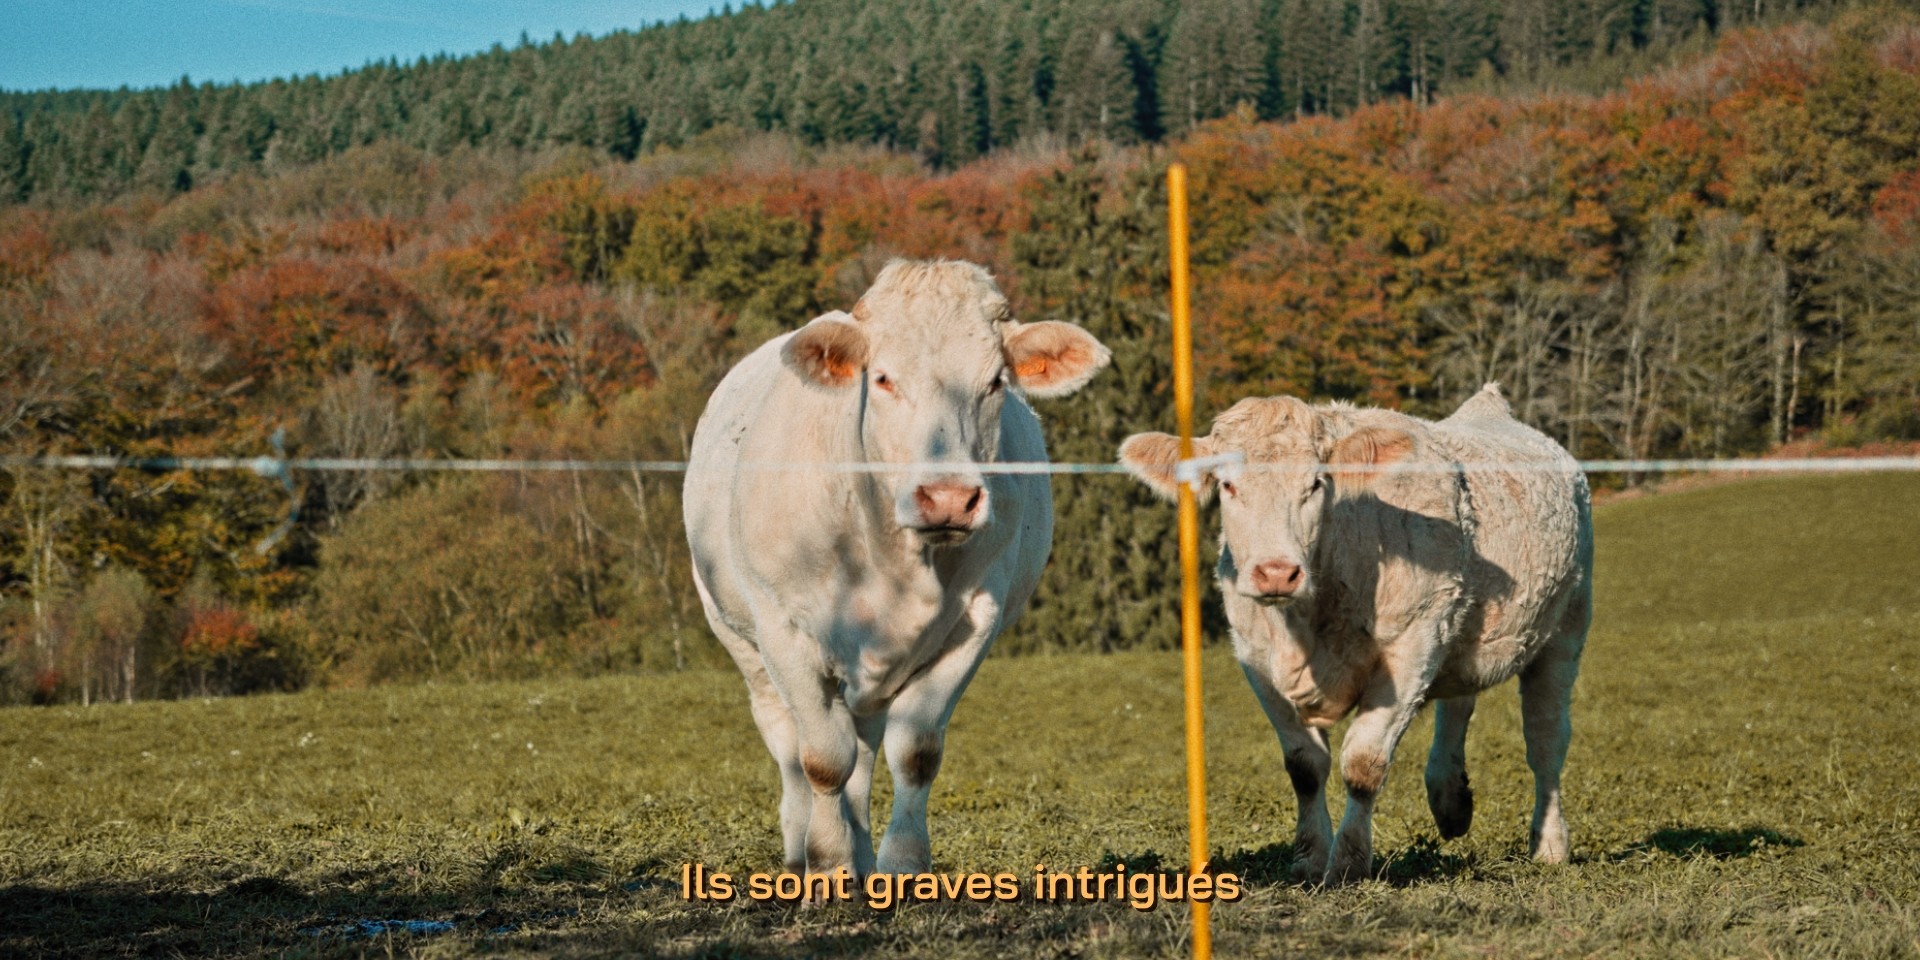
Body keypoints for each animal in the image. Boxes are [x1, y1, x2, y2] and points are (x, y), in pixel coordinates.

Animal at [684, 259, 1110, 881]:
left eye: (995, 382)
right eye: (883, 378)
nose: (949, 498)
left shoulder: (974, 625)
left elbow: (914, 754)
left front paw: (901, 866)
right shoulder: (786, 630)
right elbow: (821, 759)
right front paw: (828, 869)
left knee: (863, 747)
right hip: (737, 633)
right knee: (787, 743)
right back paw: (800, 851)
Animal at [1119, 384, 1592, 884]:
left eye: (1315, 484)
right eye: (1228, 485)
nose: (1276, 573)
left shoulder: (1412, 648)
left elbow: (1363, 763)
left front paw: (1348, 862)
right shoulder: (1256, 659)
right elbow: (1304, 766)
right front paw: (1309, 857)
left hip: (1566, 627)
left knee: (1545, 739)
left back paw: (1549, 843)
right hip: (1462, 626)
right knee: (1459, 701)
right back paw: (1450, 801)